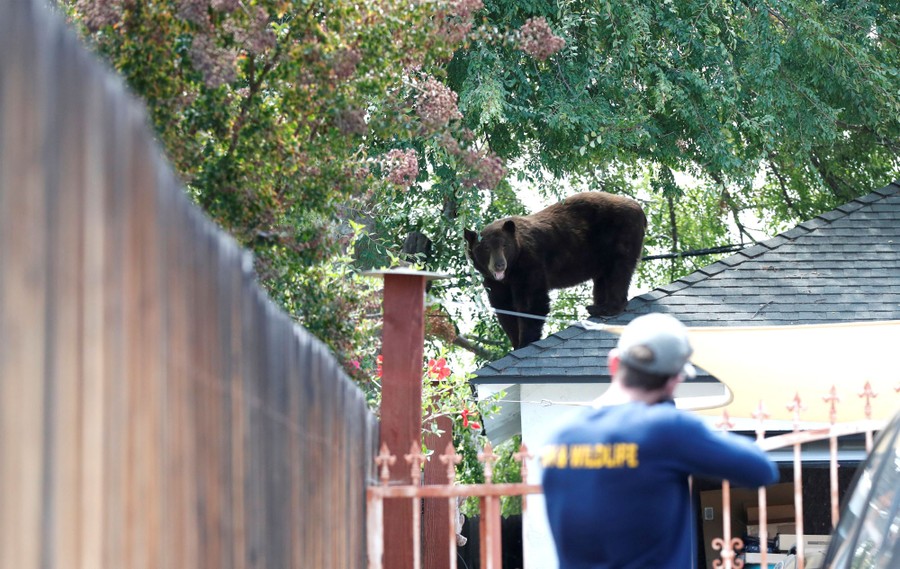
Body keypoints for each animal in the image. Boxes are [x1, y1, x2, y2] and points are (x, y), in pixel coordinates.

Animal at [464, 191, 646, 350]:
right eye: (486, 247)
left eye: (504, 245)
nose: (500, 265)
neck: (511, 270)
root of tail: (639, 208)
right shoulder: (493, 282)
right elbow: (504, 307)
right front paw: (515, 343)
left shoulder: (530, 263)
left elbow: (531, 301)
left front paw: (526, 341)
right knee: (603, 278)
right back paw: (597, 306)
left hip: (619, 234)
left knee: (618, 271)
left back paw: (607, 307)